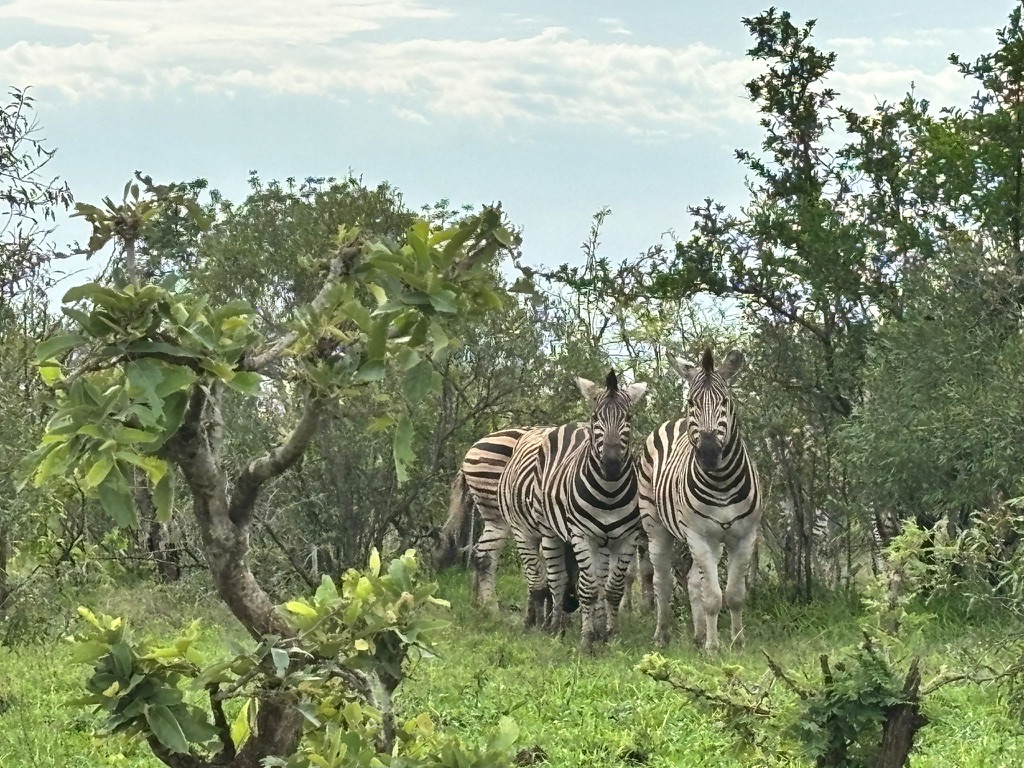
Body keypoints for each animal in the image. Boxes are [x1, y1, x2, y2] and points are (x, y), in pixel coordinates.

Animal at [536, 370, 649, 651]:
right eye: (596, 417)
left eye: (628, 418)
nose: (611, 464)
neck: (609, 492)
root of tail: (570, 426)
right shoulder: (581, 535)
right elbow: (587, 589)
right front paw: (586, 640)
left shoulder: (627, 538)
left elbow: (612, 589)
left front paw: (610, 634)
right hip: (550, 531)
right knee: (558, 580)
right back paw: (557, 627)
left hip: (601, 543)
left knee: (595, 579)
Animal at [639, 348, 761, 650]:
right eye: (692, 402)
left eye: (725, 401)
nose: (708, 453)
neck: (722, 483)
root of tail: (675, 422)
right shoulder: (700, 536)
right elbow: (713, 597)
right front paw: (714, 648)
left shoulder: (745, 537)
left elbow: (734, 594)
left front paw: (736, 642)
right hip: (656, 527)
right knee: (662, 582)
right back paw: (662, 635)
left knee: (694, 581)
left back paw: (698, 634)